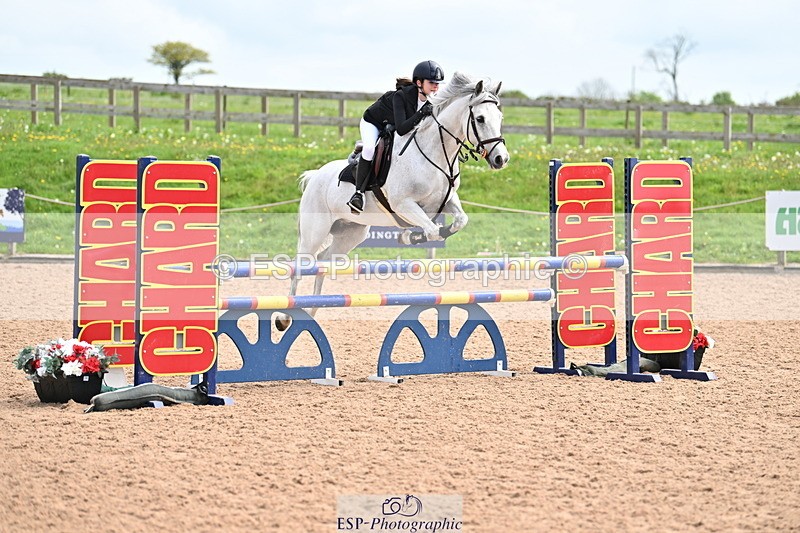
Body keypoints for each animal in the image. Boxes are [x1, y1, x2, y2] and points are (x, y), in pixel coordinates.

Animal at [276, 72, 509, 330]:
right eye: (479, 118)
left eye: (499, 117)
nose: (501, 159)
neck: (435, 153)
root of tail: (315, 175)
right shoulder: (403, 204)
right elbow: (431, 230)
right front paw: (412, 236)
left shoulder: (446, 200)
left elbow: (459, 221)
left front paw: (424, 235)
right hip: (314, 231)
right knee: (300, 267)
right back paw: (285, 318)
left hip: (351, 233)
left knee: (323, 262)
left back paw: (313, 309)